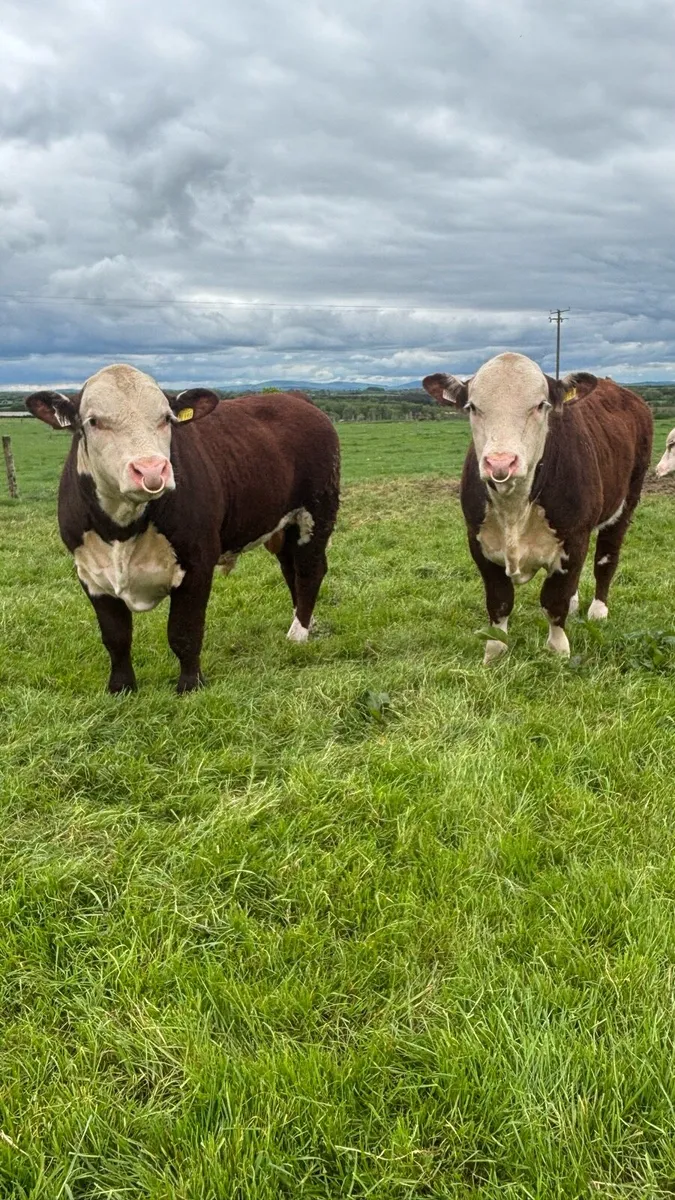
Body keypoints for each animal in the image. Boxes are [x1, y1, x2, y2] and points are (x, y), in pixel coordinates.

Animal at [26, 364, 340, 693]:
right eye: (94, 421)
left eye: (166, 418)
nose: (151, 470)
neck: (122, 529)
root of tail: (295, 397)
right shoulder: (90, 573)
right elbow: (116, 637)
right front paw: (121, 687)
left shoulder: (197, 562)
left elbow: (184, 632)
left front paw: (190, 685)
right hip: (285, 525)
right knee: (291, 570)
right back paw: (304, 621)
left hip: (316, 514)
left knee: (309, 571)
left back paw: (299, 633)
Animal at [422, 353, 652, 663]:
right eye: (472, 407)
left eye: (540, 405)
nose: (500, 463)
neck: (514, 508)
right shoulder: (477, 539)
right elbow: (499, 600)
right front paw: (495, 651)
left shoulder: (574, 535)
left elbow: (554, 600)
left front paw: (558, 650)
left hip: (627, 500)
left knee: (605, 559)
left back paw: (598, 609)